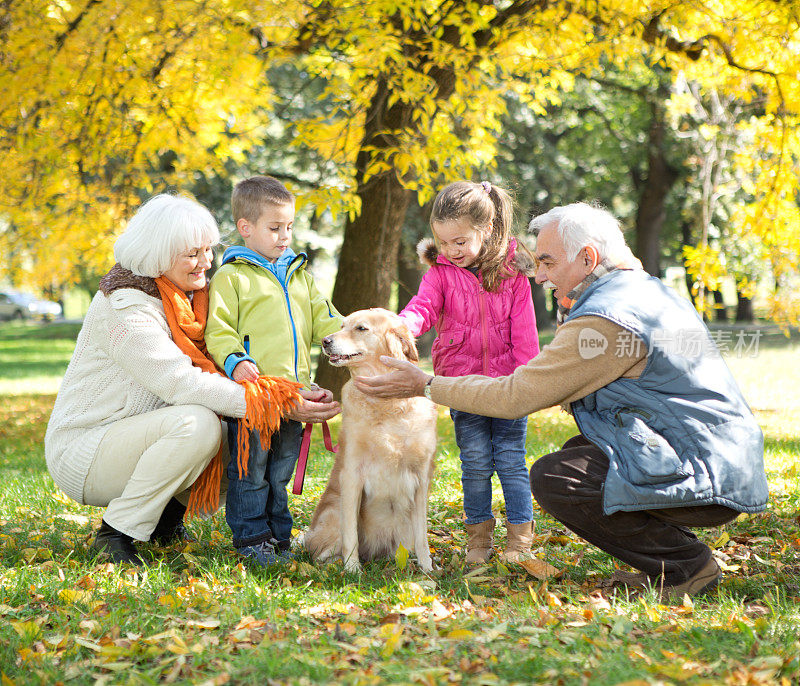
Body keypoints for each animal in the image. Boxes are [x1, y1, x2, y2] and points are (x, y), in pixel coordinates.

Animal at [302, 310, 438, 572]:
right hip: (333, 511)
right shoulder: (352, 474)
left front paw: (427, 568)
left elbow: (422, 534)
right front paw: (352, 569)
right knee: (320, 552)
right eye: (341, 325)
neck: (387, 405)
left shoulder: (421, 478)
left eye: (361, 328)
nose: (325, 341)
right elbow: (351, 534)